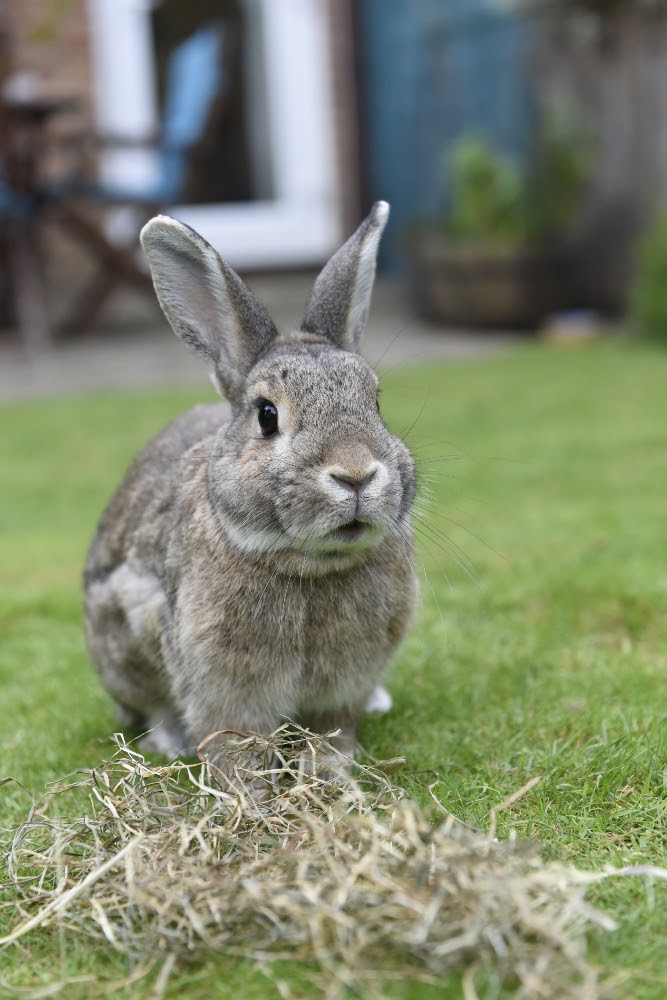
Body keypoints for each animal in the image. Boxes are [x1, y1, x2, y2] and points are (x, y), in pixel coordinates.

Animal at [83, 203, 418, 764]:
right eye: (267, 416)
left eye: (375, 403)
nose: (355, 474)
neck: (309, 566)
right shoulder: (221, 690)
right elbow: (233, 746)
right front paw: (246, 785)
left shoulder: (341, 688)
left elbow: (333, 736)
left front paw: (337, 774)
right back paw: (169, 741)